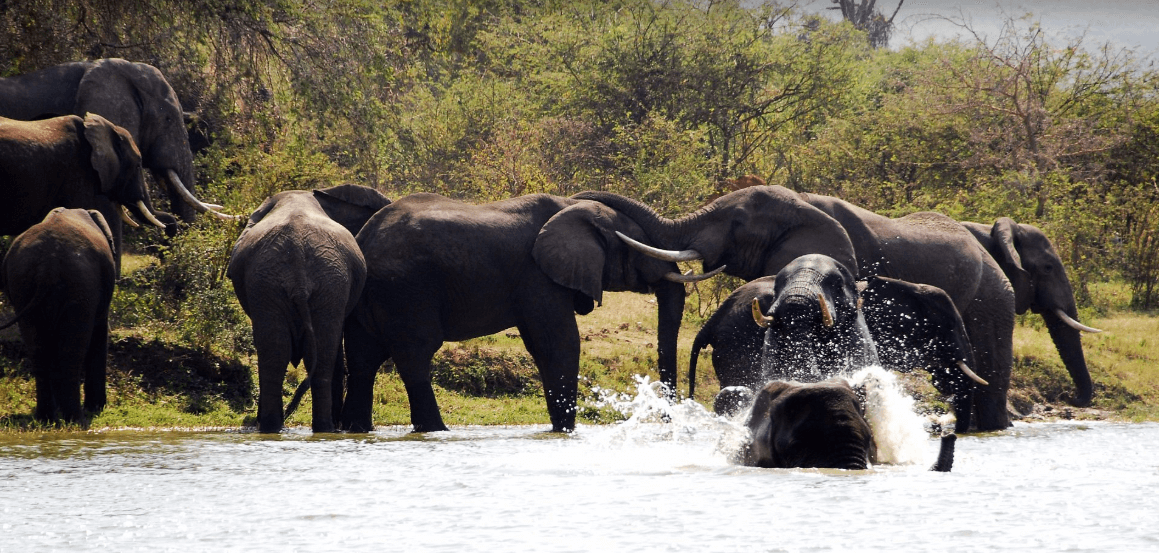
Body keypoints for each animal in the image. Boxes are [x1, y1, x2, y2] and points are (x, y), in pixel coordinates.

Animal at [0, 208, 117, 423]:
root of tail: (47, 267)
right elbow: (99, 332)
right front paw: (97, 408)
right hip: (80, 284)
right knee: (72, 350)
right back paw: (75, 418)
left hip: (23, 283)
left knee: (38, 349)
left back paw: (46, 417)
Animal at [227, 184, 392, 434]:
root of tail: (297, 265)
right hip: (295, 283)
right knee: (301, 355)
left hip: (295, 283)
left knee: (288, 355)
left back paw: (289, 427)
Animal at [341, 193, 720, 433]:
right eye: (640, 246)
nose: (670, 422)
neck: (572, 209)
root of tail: (365, 239)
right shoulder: (537, 275)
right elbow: (558, 343)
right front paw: (564, 431)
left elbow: (544, 346)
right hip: (406, 290)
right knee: (414, 358)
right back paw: (437, 430)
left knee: (362, 360)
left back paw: (356, 430)